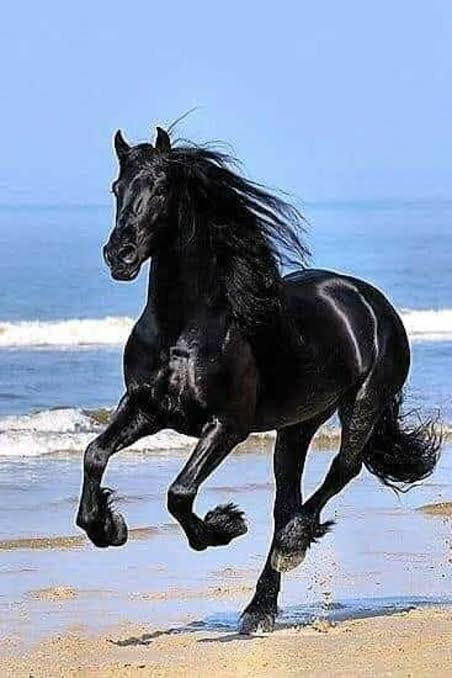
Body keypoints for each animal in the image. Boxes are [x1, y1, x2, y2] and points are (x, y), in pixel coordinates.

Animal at [75, 125, 440, 634]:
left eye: (161, 190)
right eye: (117, 188)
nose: (119, 255)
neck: (182, 328)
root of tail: (368, 299)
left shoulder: (227, 425)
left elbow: (179, 493)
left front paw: (224, 525)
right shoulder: (146, 408)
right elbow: (95, 453)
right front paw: (107, 527)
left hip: (363, 403)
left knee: (341, 470)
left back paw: (292, 546)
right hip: (298, 424)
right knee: (287, 498)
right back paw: (260, 607)